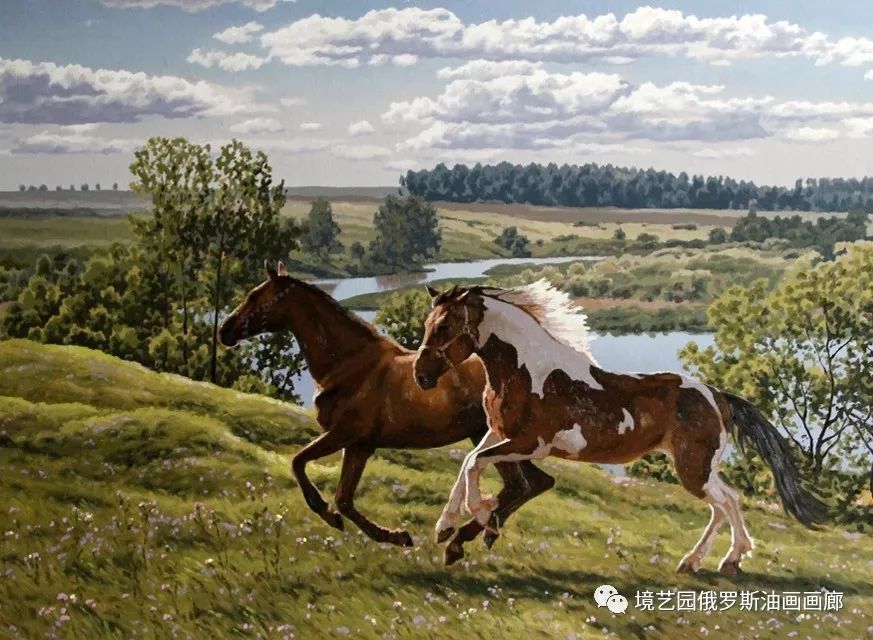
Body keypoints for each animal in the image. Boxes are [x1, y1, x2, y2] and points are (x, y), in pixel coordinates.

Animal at [217, 262, 552, 564]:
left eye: (255, 296)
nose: (224, 330)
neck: (348, 365)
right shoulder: (359, 446)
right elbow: (344, 499)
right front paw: (396, 536)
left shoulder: (342, 435)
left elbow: (299, 462)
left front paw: (326, 512)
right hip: (497, 441)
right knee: (537, 483)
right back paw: (480, 533)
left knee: (520, 485)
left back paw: (458, 540)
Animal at [414, 282, 824, 576]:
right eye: (426, 325)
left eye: (445, 326)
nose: (421, 376)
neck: (526, 372)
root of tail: (718, 397)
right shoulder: (500, 433)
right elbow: (468, 461)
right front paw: (444, 527)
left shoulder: (532, 444)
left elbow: (474, 464)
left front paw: (481, 515)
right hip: (701, 469)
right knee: (727, 503)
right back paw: (711, 561)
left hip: (694, 470)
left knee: (726, 502)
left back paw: (718, 560)